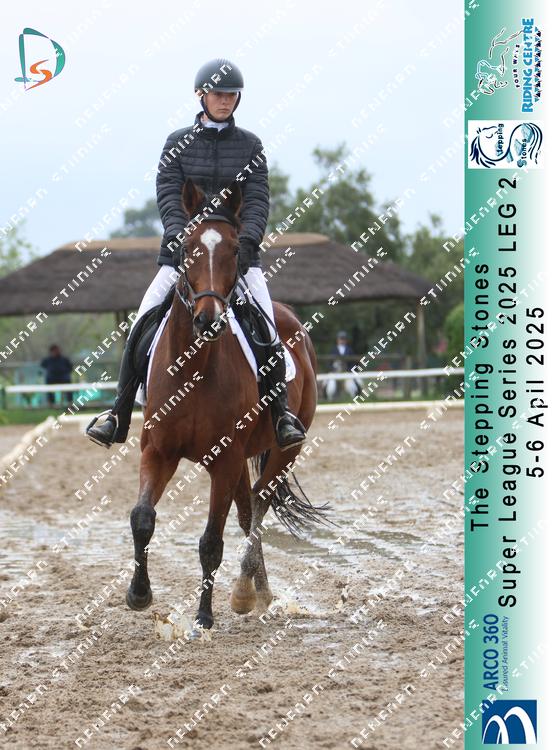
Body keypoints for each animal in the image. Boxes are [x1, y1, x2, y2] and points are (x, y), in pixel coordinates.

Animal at [126, 178, 330, 631]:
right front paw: (138, 594)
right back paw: (258, 591)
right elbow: (142, 518)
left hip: (284, 449)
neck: (194, 368)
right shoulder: (158, 452)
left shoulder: (224, 459)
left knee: (259, 504)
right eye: (186, 247)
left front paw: (203, 616)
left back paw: (243, 592)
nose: (208, 320)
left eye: (237, 249)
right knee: (247, 510)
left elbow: (211, 541)